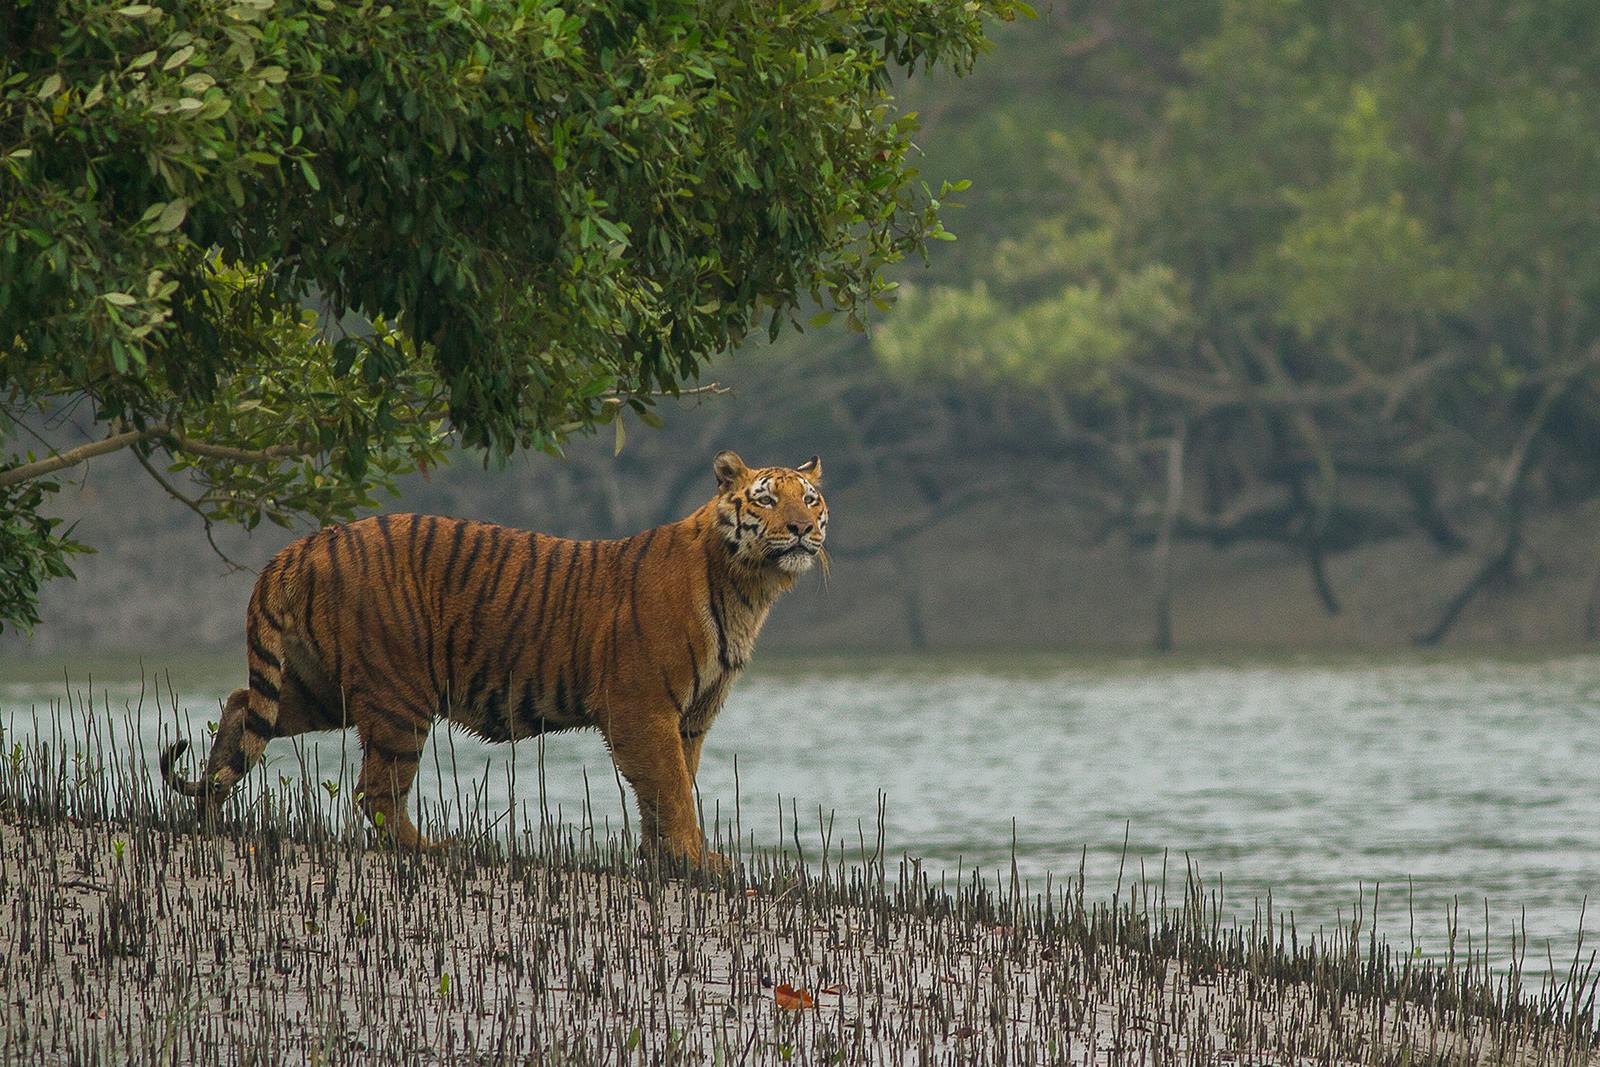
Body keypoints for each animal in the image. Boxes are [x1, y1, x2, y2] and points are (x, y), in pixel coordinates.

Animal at [160, 451, 825, 870]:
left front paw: (668, 858)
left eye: (811, 500)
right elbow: (670, 788)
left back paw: (208, 810)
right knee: (376, 792)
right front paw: (695, 860)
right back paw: (430, 850)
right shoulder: (644, 708)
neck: (748, 588)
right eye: (766, 500)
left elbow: (674, 785)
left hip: (323, 688)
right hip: (399, 695)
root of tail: (305, 543)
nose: (800, 529)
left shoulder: (690, 716)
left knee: (242, 706)